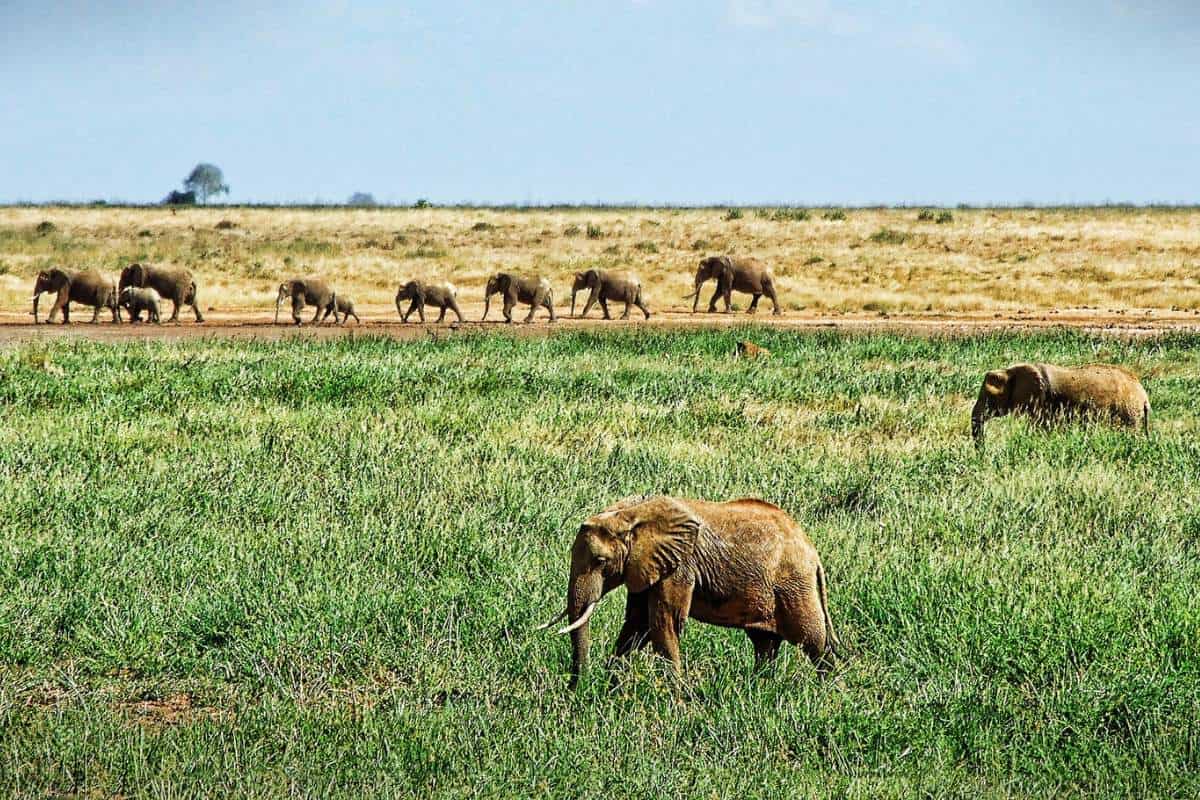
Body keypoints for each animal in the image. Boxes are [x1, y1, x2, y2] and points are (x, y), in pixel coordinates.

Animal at [540, 494, 840, 690]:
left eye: (601, 561)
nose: (575, 689)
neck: (631, 513)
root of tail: (813, 552)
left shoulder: (680, 566)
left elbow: (663, 623)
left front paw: (676, 701)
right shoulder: (645, 565)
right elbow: (637, 624)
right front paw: (610, 686)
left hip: (794, 585)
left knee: (814, 642)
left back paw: (828, 693)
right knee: (765, 644)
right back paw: (759, 690)